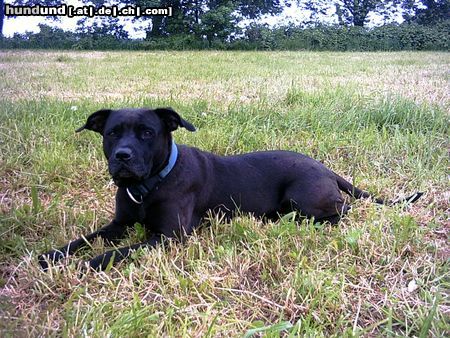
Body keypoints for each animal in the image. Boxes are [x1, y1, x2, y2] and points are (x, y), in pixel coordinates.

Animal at [38, 109, 422, 272]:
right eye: (112, 133)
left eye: (147, 133)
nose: (122, 157)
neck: (150, 183)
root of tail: (326, 168)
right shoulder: (118, 224)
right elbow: (85, 239)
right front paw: (52, 256)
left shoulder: (169, 236)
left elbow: (116, 253)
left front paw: (88, 265)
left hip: (303, 197)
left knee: (341, 211)